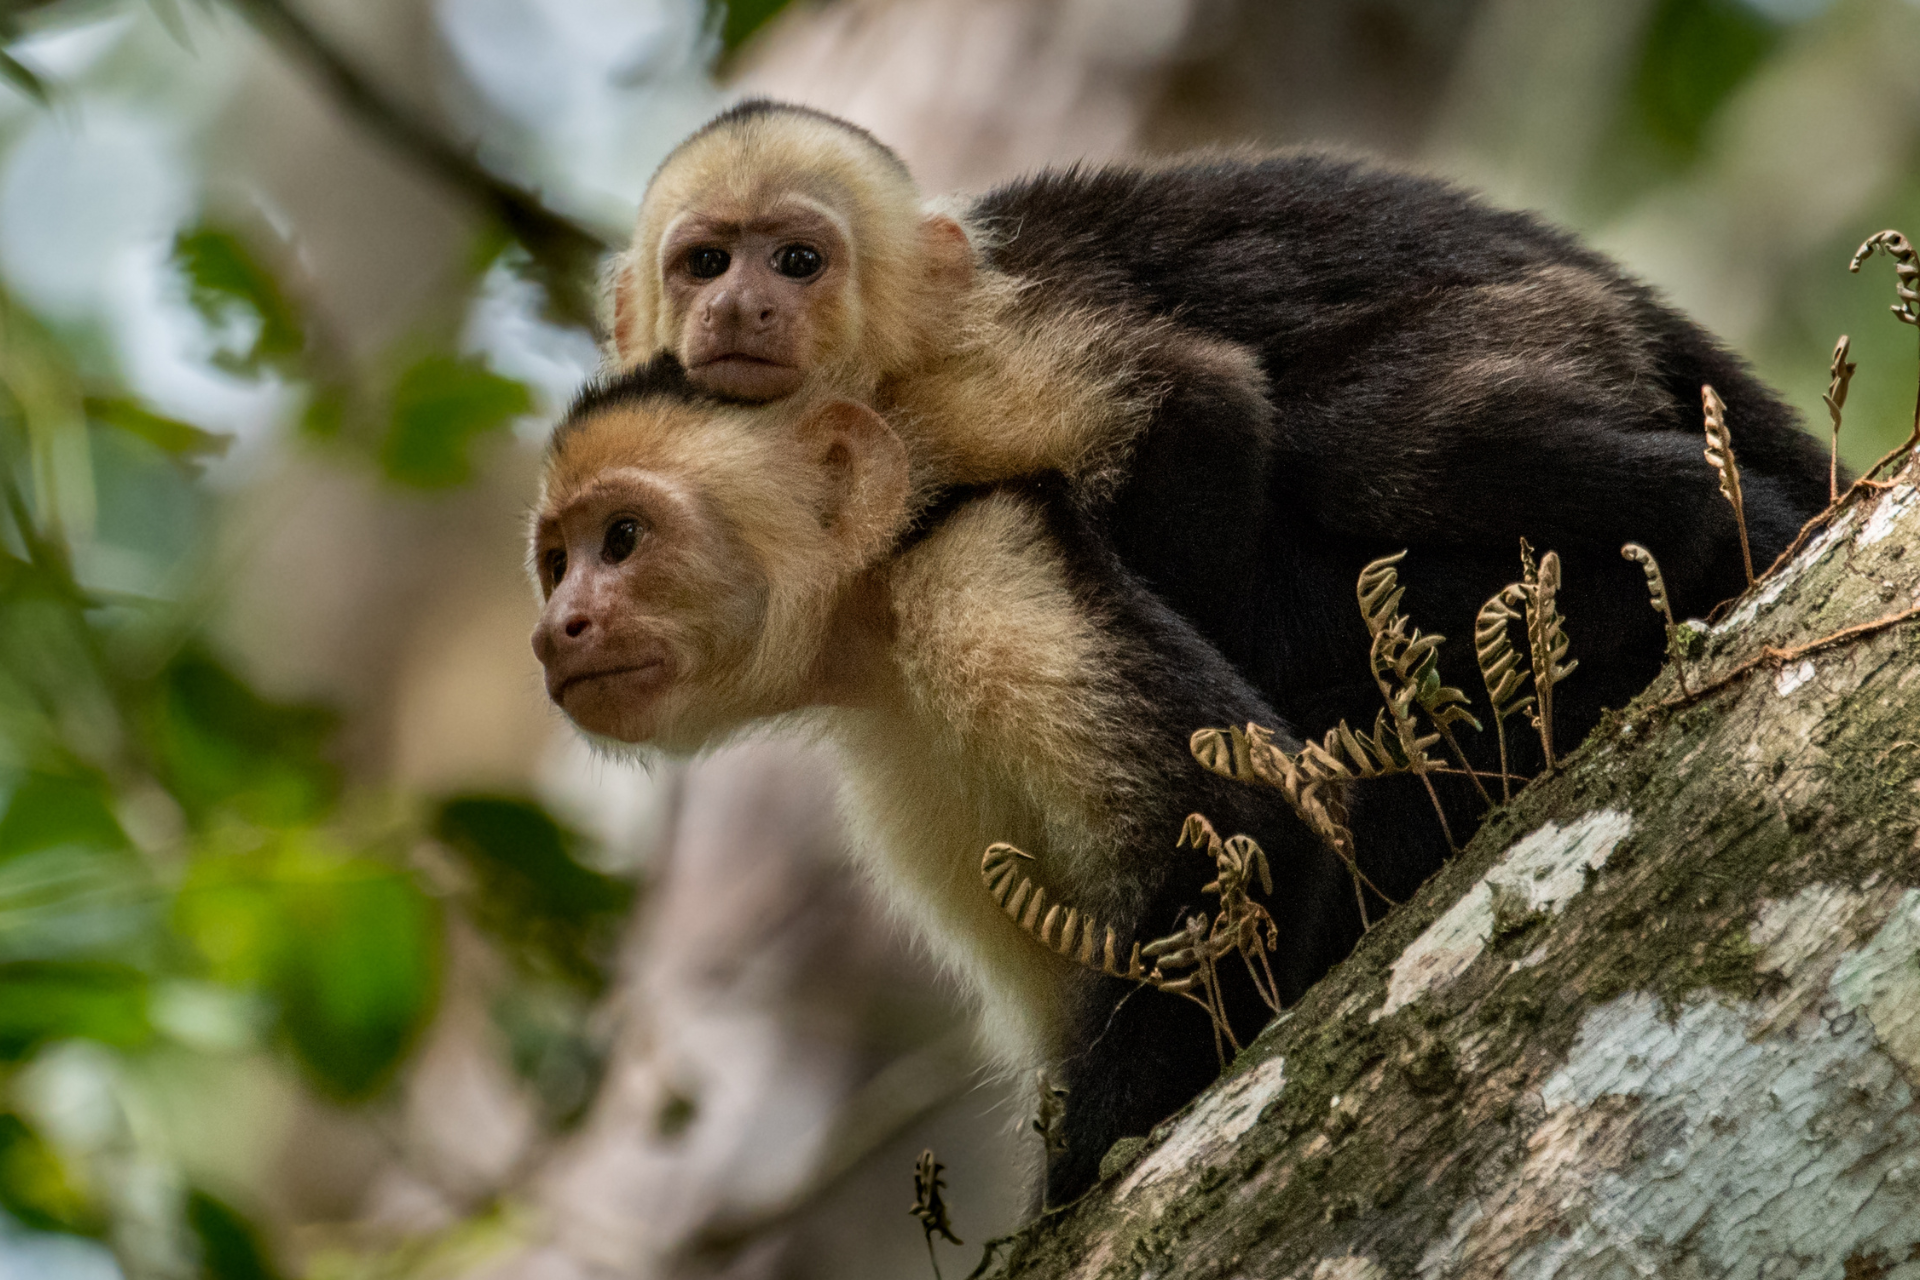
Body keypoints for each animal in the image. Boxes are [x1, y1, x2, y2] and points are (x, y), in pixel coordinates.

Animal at [579, 105, 1827, 1205]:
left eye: (799, 260)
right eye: (702, 262)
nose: (742, 305)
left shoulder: (975, 410)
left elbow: (1200, 416)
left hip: (1546, 326)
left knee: (1369, 441)